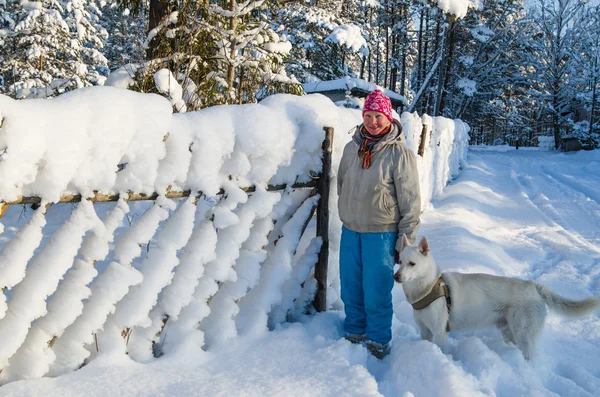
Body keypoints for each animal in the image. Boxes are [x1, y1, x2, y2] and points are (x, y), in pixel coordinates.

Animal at [394, 234, 600, 358]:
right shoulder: (424, 331)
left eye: (412, 264)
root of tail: (532, 286)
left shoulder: (440, 332)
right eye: (400, 262)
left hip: (524, 335)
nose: (395, 276)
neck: (428, 288)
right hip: (510, 332)